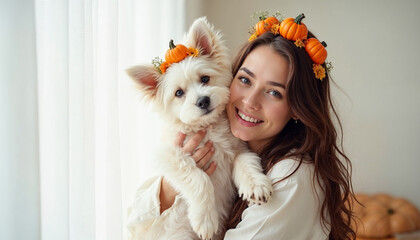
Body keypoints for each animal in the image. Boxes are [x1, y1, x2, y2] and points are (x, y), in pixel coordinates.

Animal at [126, 17, 274, 239]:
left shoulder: (239, 148)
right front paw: (205, 219)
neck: (207, 128)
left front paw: (255, 184)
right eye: (179, 93)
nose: (203, 101)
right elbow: (198, 178)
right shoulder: (168, 156)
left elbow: (246, 162)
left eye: (204, 79)